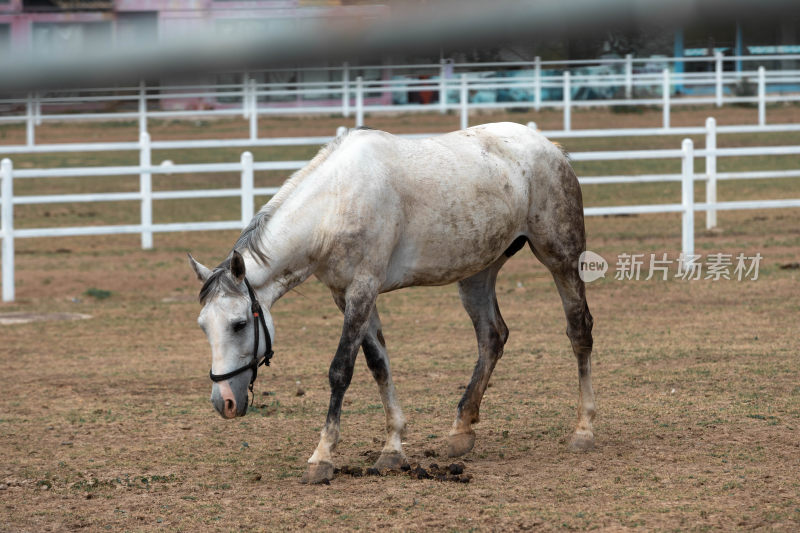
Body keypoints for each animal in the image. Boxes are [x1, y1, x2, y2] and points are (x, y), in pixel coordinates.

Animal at [189, 122, 592, 484]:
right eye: (203, 327)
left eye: (240, 324)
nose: (223, 402)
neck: (337, 202)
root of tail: (550, 147)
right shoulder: (346, 296)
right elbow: (378, 365)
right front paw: (393, 449)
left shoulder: (362, 290)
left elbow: (341, 370)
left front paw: (322, 457)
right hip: (477, 274)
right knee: (492, 338)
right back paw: (461, 431)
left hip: (561, 259)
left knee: (578, 330)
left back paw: (583, 430)